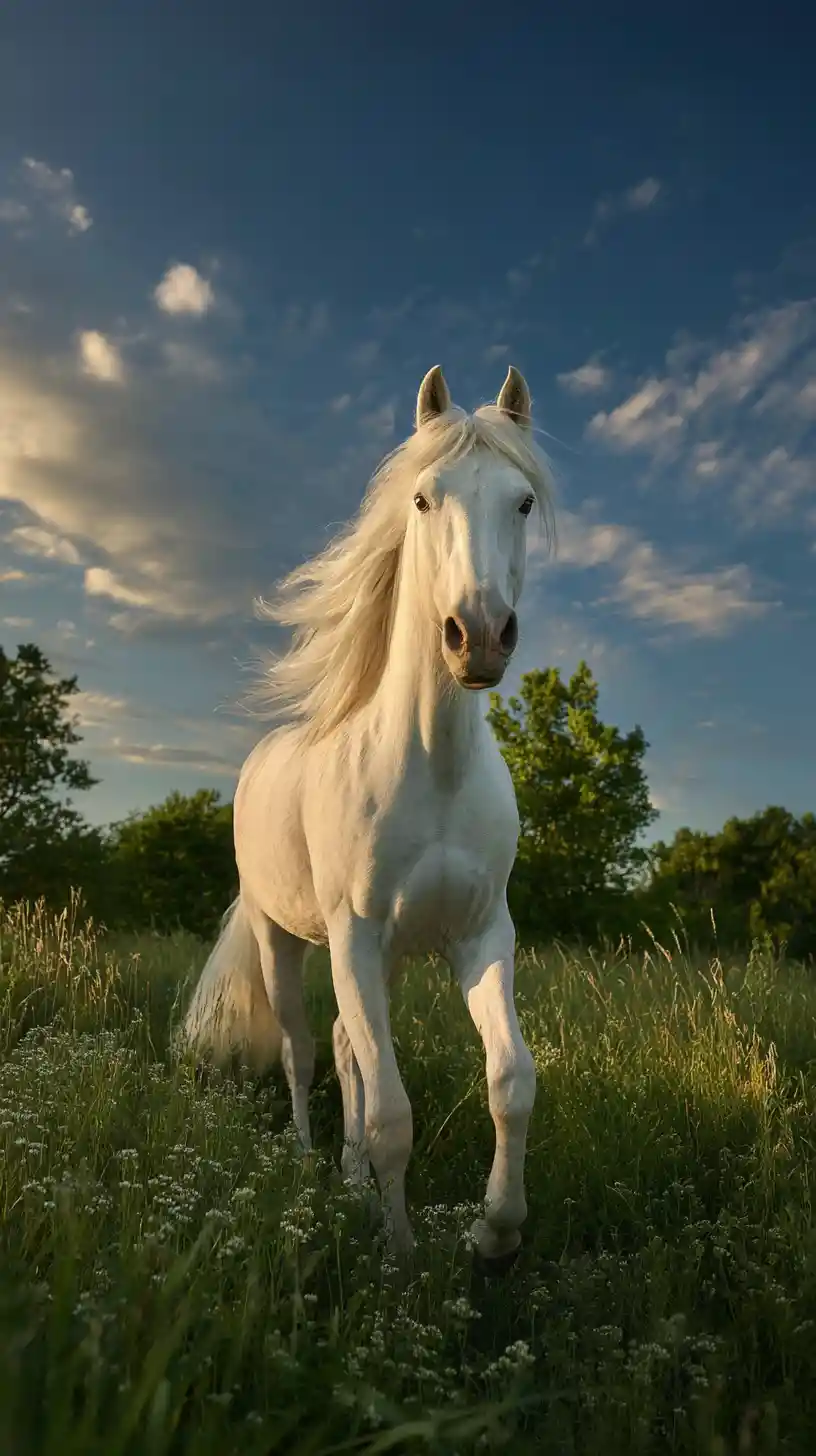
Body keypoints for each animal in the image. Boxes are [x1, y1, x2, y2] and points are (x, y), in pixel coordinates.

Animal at [182, 364, 555, 1267]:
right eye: (423, 498)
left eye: (524, 502)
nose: (478, 636)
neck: (433, 767)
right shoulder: (353, 935)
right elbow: (391, 1111)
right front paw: (400, 1251)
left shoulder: (480, 937)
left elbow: (511, 1080)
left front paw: (494, 1232)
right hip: (287, 940)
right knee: (302, 1046)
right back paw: (307, 1157)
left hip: (377, 960)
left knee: (351, 1049)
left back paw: (349, 1177)